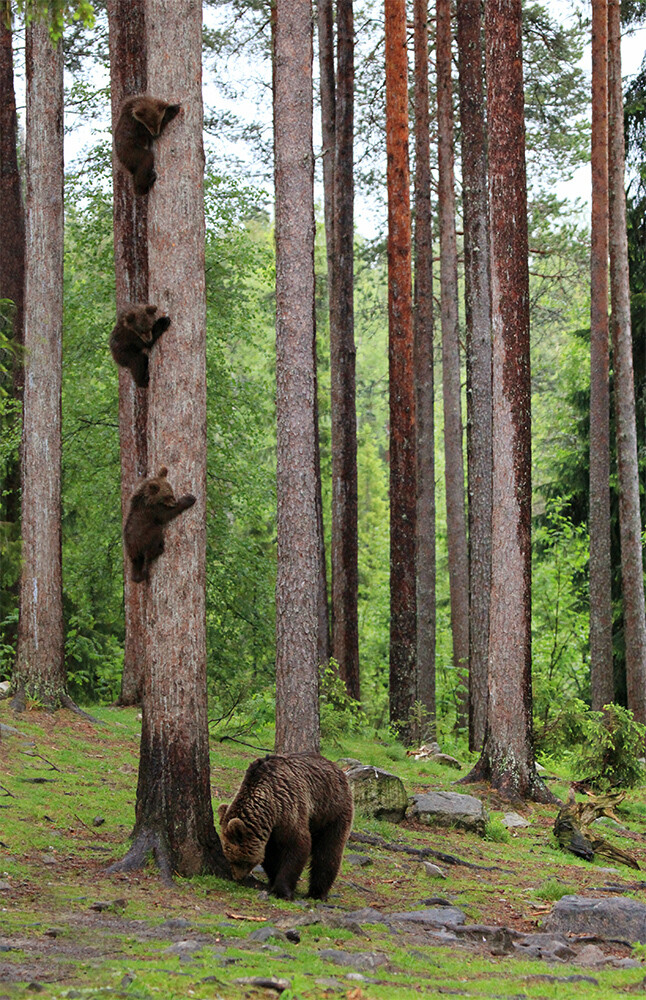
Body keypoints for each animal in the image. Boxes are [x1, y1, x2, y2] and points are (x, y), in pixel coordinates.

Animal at [219, 752, 354, 904]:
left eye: (237, 860)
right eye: (230, 858)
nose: (237, 878)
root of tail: (338, 769)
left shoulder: (289, 807)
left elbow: (297, 846)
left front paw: (283, 891)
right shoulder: (271, 831)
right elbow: (271, 856)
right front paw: (273, 881)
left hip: (332, 811)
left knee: (328, 851)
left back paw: (317, 892)